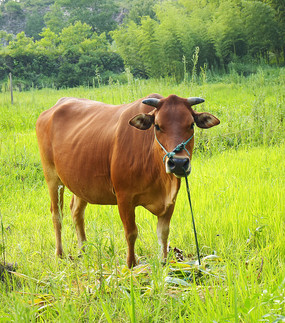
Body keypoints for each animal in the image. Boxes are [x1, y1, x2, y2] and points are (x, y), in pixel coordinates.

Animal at [35, 93, 217, 268]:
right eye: (157, 126)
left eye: (191, 125)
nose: (178, 163)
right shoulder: (124, 198)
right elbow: (131, 233)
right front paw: (131, 264)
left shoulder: (170, 200)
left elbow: (163, 233)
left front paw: (164, 263)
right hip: (52, 177)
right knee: (57, 214)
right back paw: (60, 254)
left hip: (79, 183)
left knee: (76, 212)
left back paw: (83, 251)